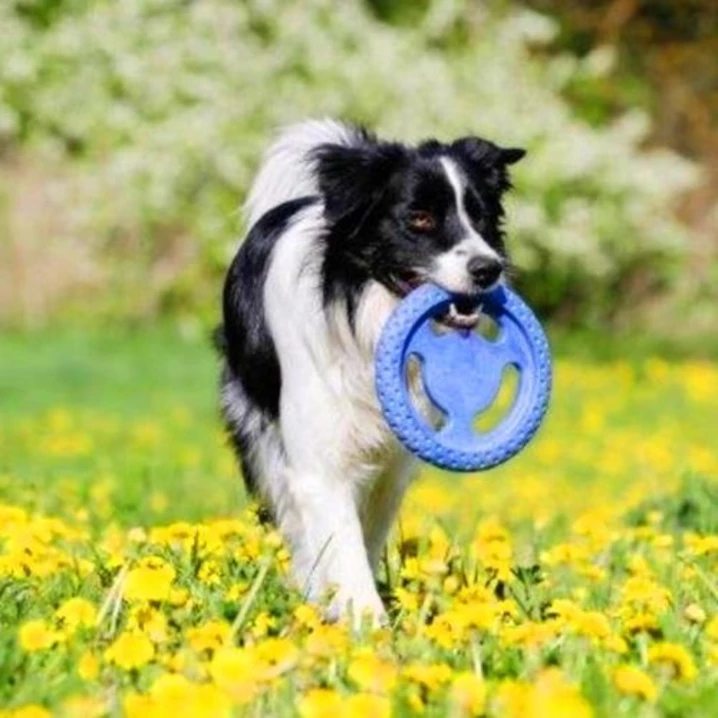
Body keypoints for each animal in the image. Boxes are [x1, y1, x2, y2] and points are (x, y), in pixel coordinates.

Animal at [217, 118, 524, 624]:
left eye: (479, 218)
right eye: (419, 218)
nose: (488, 269)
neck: (366, 321)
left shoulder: (393, 464)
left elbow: (364, 535)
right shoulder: (317, 463)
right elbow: (340, 545)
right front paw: (368, 627)